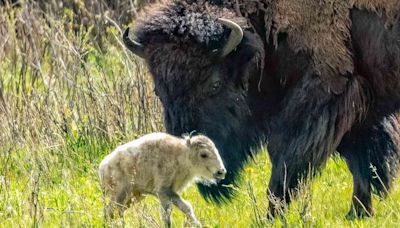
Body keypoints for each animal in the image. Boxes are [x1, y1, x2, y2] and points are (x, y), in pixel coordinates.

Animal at [99, 132, 227, 226]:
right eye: (203, 154)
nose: (221, 171)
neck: (180, 156)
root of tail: (103, 166)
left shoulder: (170, 192)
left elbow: (186, 208)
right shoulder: (163, 192)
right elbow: (167, 215)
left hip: (134, 196)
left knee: (112, 212)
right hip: (120, 194)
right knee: (114, 210)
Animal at [122, 0, 400, 217]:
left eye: (214, 84)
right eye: (159, 91)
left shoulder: (323, 96)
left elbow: (286, 160)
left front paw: (271, 215)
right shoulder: (359, 105)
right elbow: (365, 161)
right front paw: (358, 213)